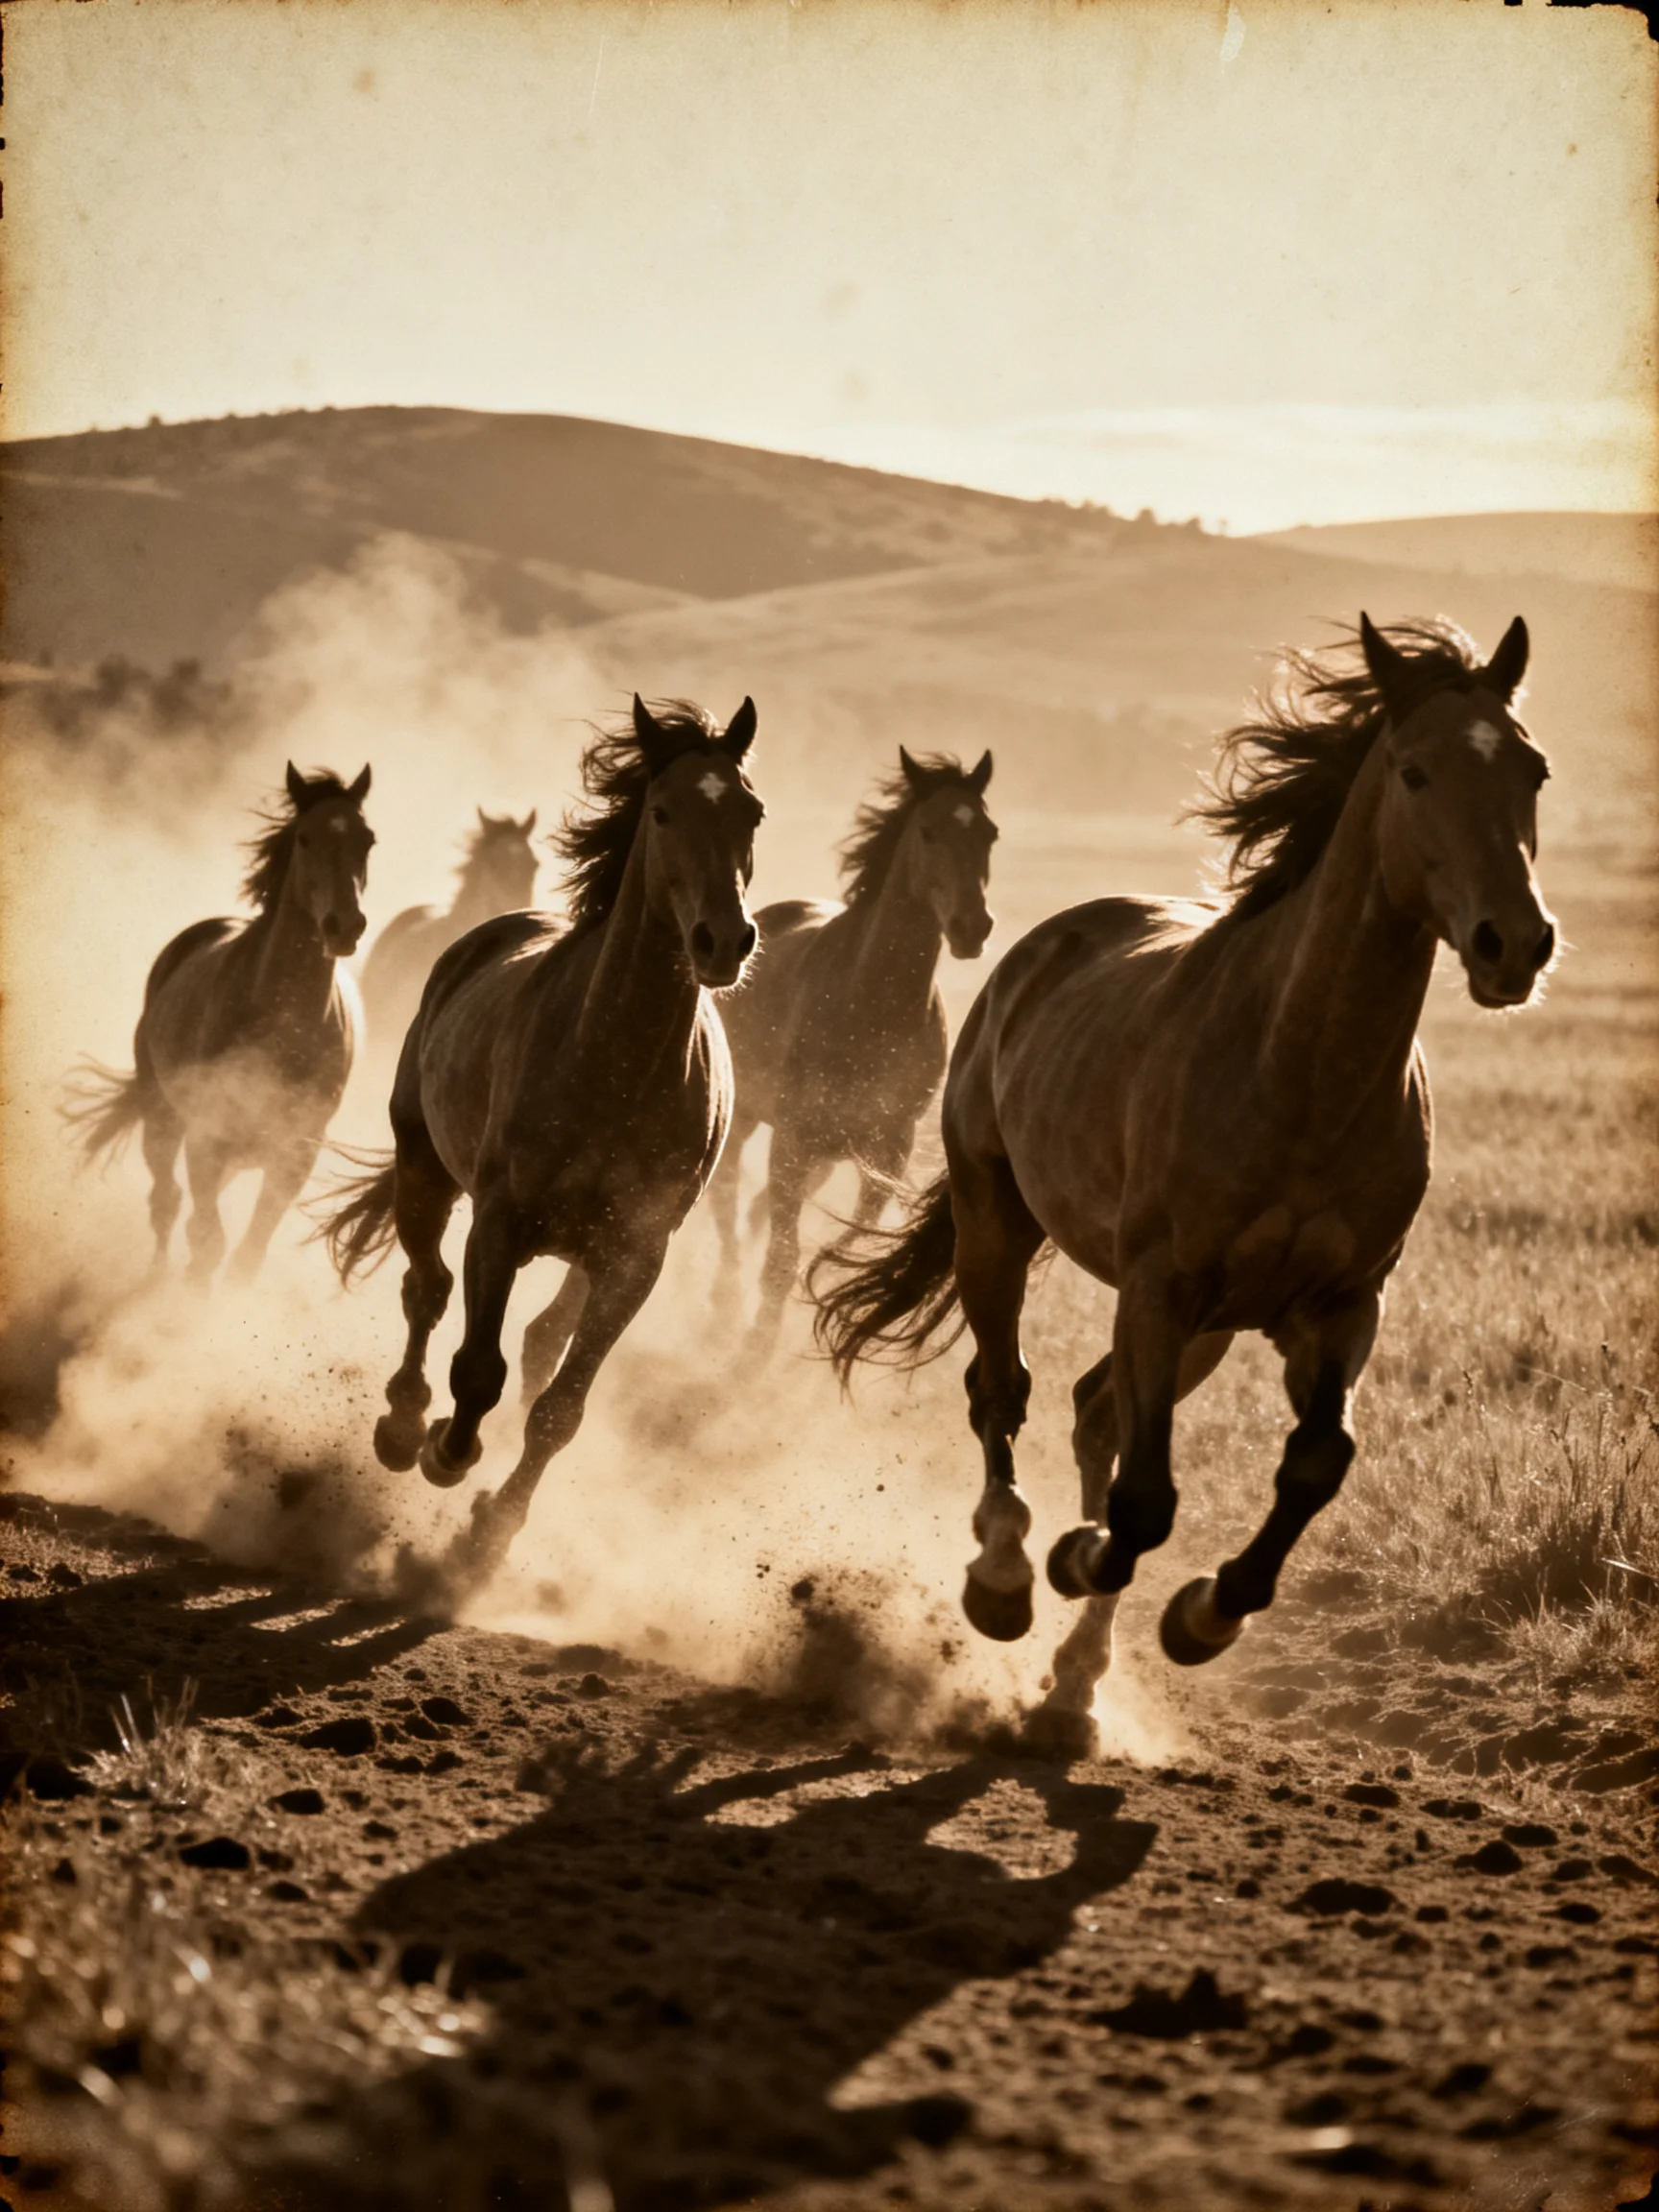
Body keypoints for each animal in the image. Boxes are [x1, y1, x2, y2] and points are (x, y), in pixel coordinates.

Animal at [67, 763, 376, 1285]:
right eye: (305, 838)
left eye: (368, 839)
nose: (344, 926)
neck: (284, 1023)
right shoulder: (207, 1134)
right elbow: (207, 1240)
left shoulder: (295, 1153)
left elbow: (246, 1255)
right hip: (163, 1115)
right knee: (167, 1202)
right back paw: (155, 1277)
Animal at [709, 748, 996, 1341]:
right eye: (929, 831)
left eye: (989, 833)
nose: (971, 928)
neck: (872, 1006)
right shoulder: (793, 1139)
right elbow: (782, 1256)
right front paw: (753, 1345)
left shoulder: (886, 1148)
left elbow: (850, 1243)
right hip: (746, 1118)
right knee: (725, 1197)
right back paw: (721, 1304)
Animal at [813, 615, 1554, 1734]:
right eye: (1416, 770)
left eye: (1531, 769)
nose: (1515, 943)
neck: (1298, 1069)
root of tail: (1038, 948)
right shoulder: (1160, 1285)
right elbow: (1143, 1499)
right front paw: (1070, 1562)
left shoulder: (1342, 1304)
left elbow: (1314, 1463)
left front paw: (1204, 1614)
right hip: (1001, 1224)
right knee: (1004, 1391)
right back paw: (1007, 1577)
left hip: (1209, 1326)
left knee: (1092, 1411)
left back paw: (1078, 1680)